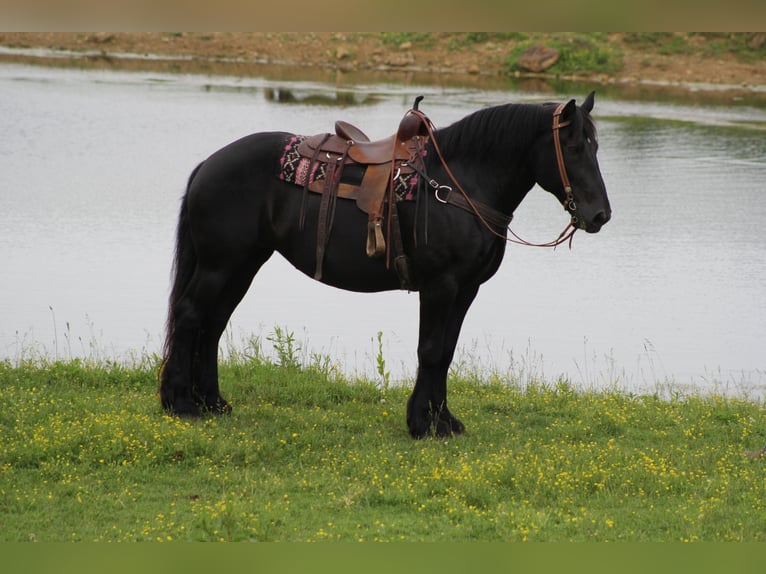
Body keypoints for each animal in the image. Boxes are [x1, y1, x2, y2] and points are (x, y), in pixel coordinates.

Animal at [160, 92, 612, 438]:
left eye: (596, 147)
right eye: (573, 148)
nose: (600, 215)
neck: (459, 184)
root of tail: (208, 165)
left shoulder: (466, 289)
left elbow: (447, 352)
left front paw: (444, 421)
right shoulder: (440, 286)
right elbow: (430, 350)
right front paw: (422, 425)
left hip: (243, 265)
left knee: (213, 324)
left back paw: (213, 402)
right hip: (220, 265)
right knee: (190, 316)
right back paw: (181, 403)